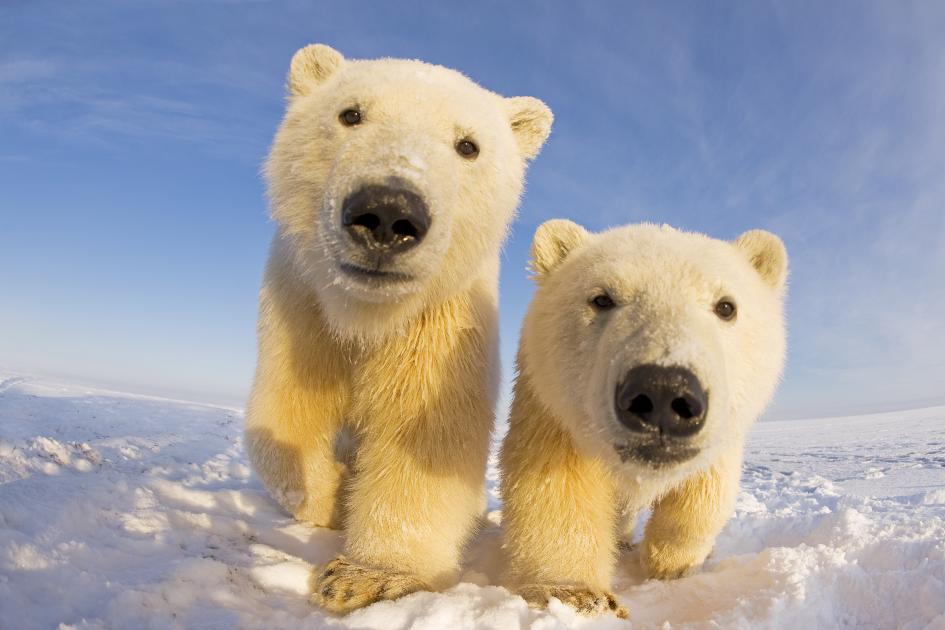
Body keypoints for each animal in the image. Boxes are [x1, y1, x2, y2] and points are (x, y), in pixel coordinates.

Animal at [244, 43, 553, 614]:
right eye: (350, 114)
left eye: (468, 145)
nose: (388, 213)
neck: (366, 315)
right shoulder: (302, 310)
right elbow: (284, 416)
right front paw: (335, 496)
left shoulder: (439, 327)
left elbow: (422, 435)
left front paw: (367, 576)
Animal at [499, 220, 788, 618]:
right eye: (601, 299)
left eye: (726, 306)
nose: (663, 393)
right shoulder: (550, 407)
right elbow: (554, 486)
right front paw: (576, 594)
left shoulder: (723, 430)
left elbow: (705, 491)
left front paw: (672, 563)